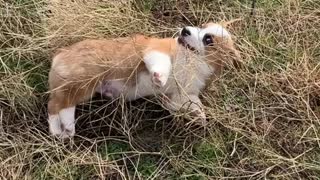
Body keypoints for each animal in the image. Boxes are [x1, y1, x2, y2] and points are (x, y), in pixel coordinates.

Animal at [47, 21, 240, 139]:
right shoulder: (156, 49)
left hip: (80, 88)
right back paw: (58, 129)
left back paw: (66, 129)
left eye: (208, 39)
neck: (191, 60)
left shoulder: (177, 96)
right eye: (201, 26)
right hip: (83, 83)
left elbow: (194, 104)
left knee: (63, 105)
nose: (185, 30)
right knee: (54, 105)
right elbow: (162, 63)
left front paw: (201, 117)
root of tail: (59, 53)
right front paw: (159, 77)